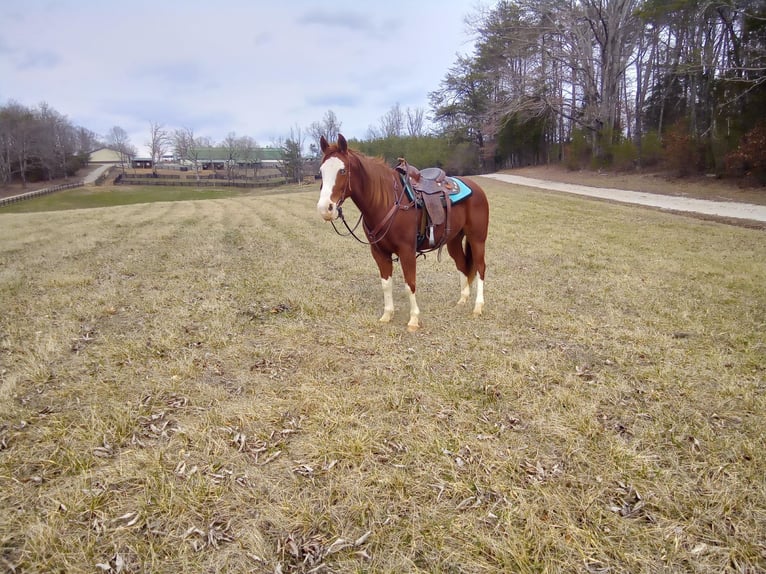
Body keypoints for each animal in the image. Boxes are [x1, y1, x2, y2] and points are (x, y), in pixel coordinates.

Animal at [318, 135, 492, 332]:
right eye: (321, 171)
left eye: (342, 170)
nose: (325, 209)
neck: (386, 202)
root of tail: (476, 187)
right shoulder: (379, 252)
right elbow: (386, 284)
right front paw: (387, 315)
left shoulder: (406, 251)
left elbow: (410, 284)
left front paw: (413, 320)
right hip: (453, 240)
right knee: (462, 265)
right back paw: (462, 300)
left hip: (477, 239)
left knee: (480, 267)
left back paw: (478, 307)